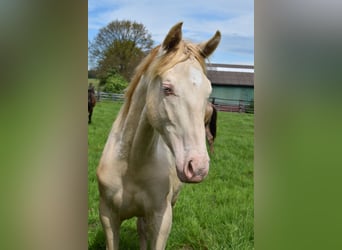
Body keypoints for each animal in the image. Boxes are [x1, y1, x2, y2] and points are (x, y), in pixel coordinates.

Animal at [95, 22, 222, 249]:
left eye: (208, 92)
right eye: (167, 88)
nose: (198, 167)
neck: (131, 164)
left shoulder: (161, 219)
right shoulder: (108, 217)